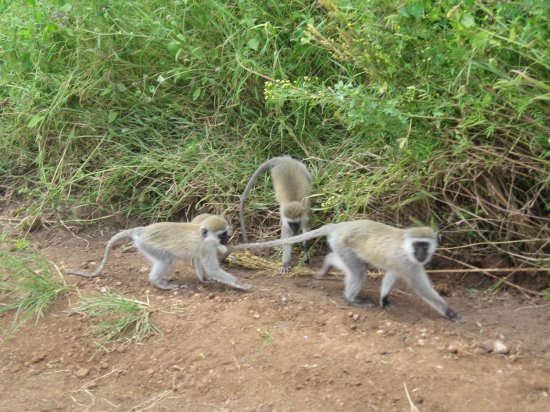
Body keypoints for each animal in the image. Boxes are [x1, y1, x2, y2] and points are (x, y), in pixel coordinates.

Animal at [67, 214, 254, 292]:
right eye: (222, 235)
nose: (226, 241)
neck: (202, 235)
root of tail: (142, 231)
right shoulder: (205, 248)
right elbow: (213, 269)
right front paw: (240, 284)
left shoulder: (202, 250)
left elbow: (199, 263)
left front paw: (203, 279)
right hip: (150, 246)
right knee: (165, 261)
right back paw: (158, 283)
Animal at [233, 220, 466, 324]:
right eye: (418, 245)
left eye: (425, 245)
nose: (421, 253)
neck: (405, 246)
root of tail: (340, 226)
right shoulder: (407, 263)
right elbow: (422, 289)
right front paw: (451, 313)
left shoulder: (401, 263)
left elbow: (390, 276)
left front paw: (384, 300)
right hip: (343, 243)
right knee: (358, 272)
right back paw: (352, 299)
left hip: (340, 245)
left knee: (347, 264)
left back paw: (327, 265)